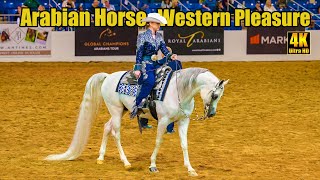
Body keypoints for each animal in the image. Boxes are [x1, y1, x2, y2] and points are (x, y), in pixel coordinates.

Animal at [45, 67, 230, 176]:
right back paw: (126, 162)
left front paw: (190, 168)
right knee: (116, 133)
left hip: (121, 110)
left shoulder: (183, 121)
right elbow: (158, 142)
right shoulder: (163, 121)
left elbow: (184, 144)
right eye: (215, 95)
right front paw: (153, 165)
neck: (178, 91)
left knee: (106, 127)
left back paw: (101, 157)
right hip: (115, 110)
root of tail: (108, 77)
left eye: (220, 96)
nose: (212, 114)